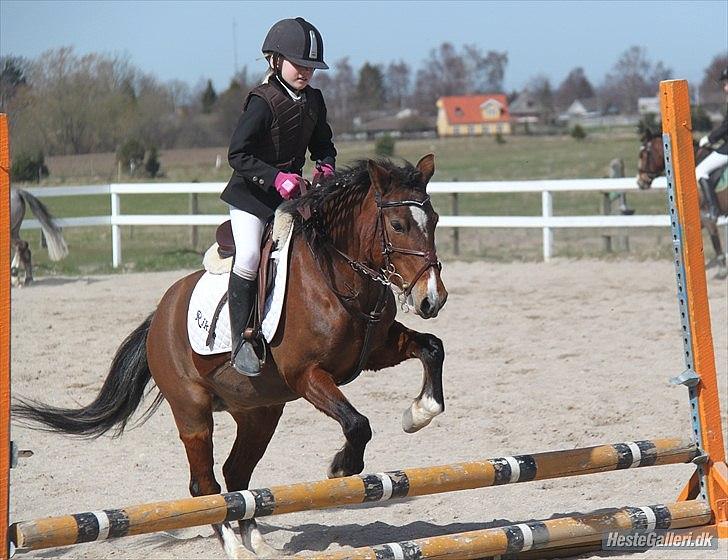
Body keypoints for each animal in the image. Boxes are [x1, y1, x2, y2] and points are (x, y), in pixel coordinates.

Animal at [12, 155, 448, 559]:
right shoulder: (306, 374)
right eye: (398, 226)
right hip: (193, 413)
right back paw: (234, 545)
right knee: (205, 484)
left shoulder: (376, 350)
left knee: (236, 476)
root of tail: (160, 315)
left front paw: (418, 413)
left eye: (434, 219)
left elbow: (432, 348)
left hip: (260, 412)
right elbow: (357, 423)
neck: (339, 274)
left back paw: (256, 541)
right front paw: (341, 467)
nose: (433, 299)